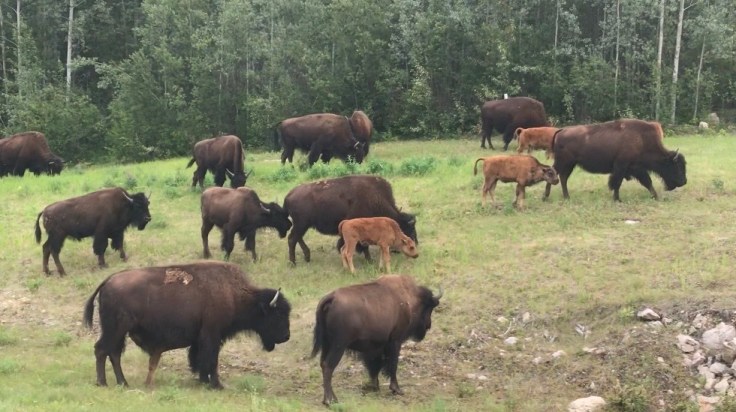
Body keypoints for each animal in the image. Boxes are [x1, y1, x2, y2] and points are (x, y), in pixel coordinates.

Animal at [83, 261, 290, 389]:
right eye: (278, 314)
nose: (286, 336)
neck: (234, 294)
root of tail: (108, 280)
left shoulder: (201, 338)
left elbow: (199, 358)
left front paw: (204, 381)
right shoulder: (212, 335)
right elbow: (211, 360)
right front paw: (217, 385)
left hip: (119, 332)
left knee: (113, 353)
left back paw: (122, 383)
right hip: (116, 330)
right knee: (102, 350)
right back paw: (103, 383)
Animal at [282, 175, 417, 265]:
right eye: (409, 230)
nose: (414, 245)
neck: (375, 199)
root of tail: (289, 195)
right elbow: (363, 246)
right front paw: (369, 260)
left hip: (302, 225)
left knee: (297, 238)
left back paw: (307, 257)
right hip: (301, 224)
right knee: (292, 239)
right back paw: (293, 263)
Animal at [311, 275, 442, 405]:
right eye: (429, 307)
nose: (428, 325)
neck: (408, 298)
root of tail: (331, 298)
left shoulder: (376, 347)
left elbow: (375, 366)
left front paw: (375, 387)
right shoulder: (395, 341)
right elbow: (392, 365)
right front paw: (396, 389)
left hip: (327, 344)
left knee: (323, 364)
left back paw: (330, 399)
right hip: (339, 345)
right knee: (328, 366)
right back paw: (330, 400)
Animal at [542, 119, 687, 202]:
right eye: (677, 167)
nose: (684, 182)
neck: (642, 140)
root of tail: (561, 131)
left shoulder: (636, 169)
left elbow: (647, 182)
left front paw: (655, 197)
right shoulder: (622, 167)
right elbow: (617, 183)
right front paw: (617, 199)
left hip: (570, 164)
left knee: (563, 178)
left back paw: (566, 197)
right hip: (563, 163)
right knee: (554, 174)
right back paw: (546, 197)